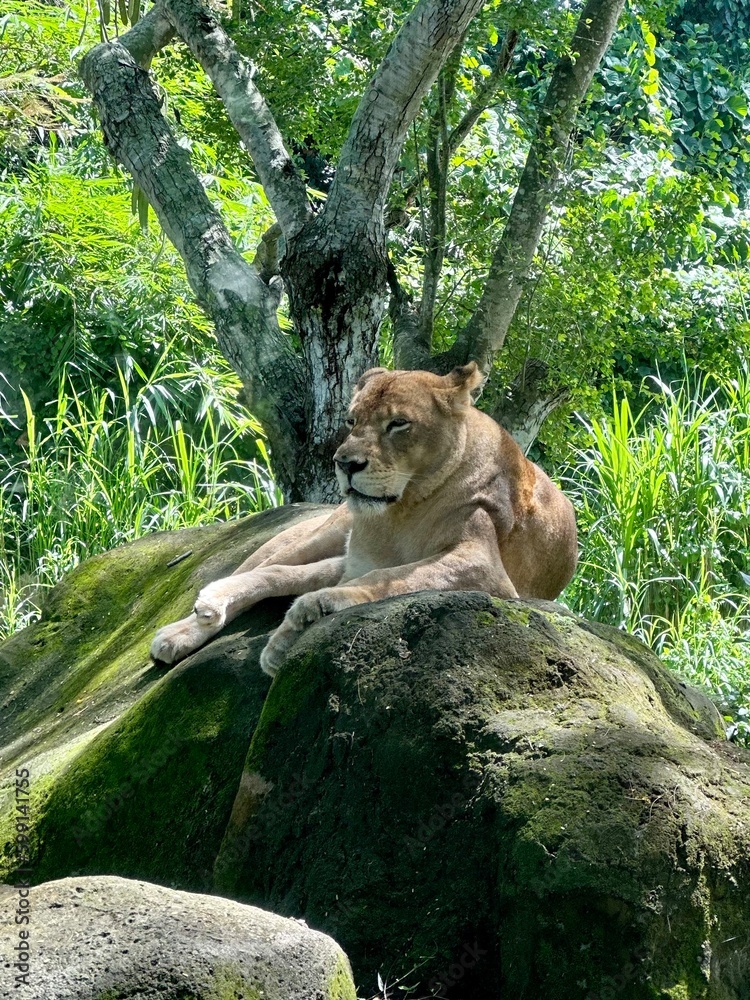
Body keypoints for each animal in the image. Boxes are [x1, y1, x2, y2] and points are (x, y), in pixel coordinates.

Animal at [150, 363, 578, 676]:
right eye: (352, 421)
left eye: (399, 423)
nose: (345, 463)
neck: (399, 514)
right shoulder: (358, 558)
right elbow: (353, 576)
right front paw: (299, 621)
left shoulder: (486, 569)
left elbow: (390, 578)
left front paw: (301, 622)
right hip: (328, 532)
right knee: (265, 566)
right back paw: (186, 625)